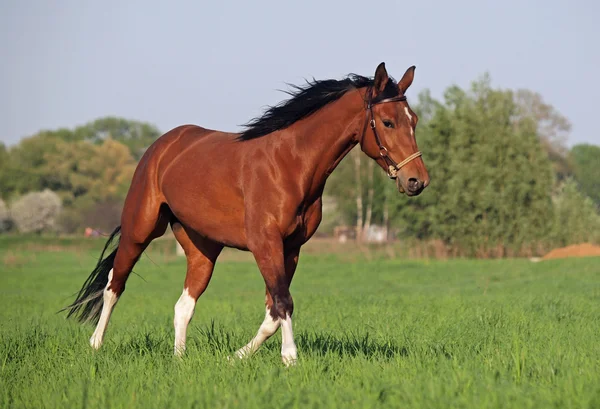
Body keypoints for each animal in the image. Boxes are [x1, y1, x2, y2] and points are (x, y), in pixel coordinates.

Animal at [63, 63, 432, 364]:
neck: (290, 164)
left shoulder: (290, 248)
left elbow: (273, 311)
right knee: (114, 284)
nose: (417, 180)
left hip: (202, 249)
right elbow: (283, 302)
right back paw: (95, 345)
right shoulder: (265, 243)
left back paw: (180, 359)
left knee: (183, 305)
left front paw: (235, 357)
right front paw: (290, 359)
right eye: (387, 122)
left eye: (413, 121)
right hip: (140, 230)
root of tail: (163, 145)